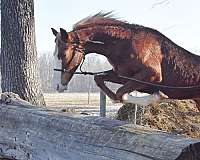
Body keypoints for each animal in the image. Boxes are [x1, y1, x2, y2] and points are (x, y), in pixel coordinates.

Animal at [51, 12, 200, 110]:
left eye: (63, 54)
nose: (57, 86)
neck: (123, 44)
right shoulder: (123, 76)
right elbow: (101, 80)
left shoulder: (152, 74)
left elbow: (120, 93)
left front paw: (158, 96)